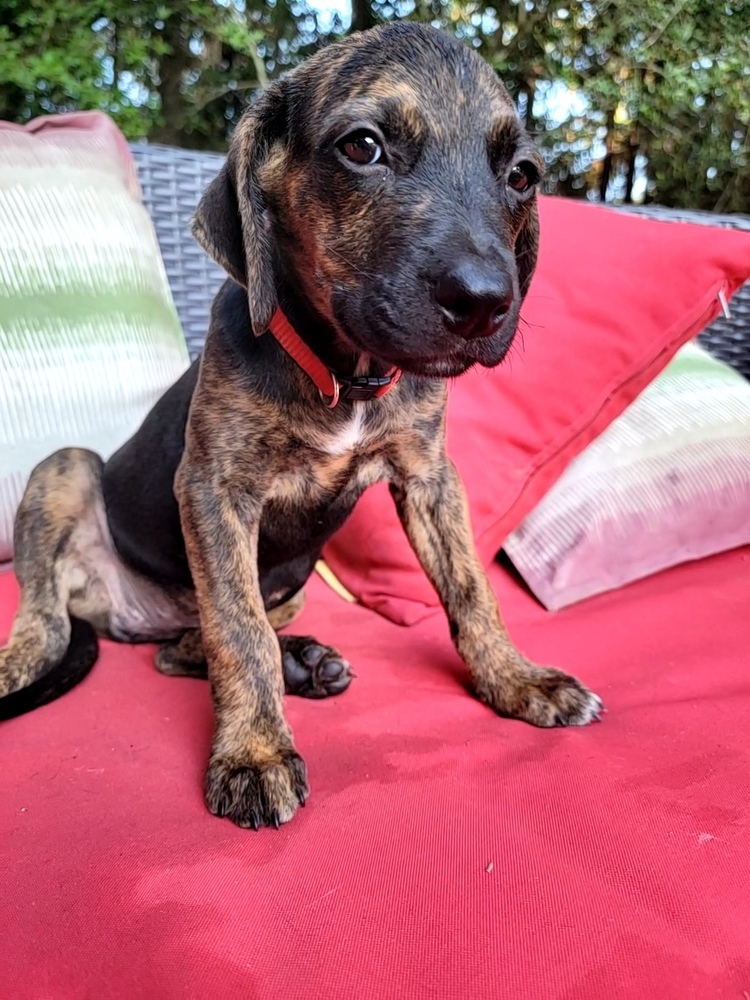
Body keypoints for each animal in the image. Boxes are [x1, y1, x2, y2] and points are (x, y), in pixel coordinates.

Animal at [0, 27, 600, 832]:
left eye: (522, 175)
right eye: (364, 147)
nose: (483, 302)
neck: (345, 375)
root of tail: (133, 615)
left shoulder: (429, 477)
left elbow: (473, 591)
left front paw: (516, 679)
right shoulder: (215, 488)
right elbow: (238, 629)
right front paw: (254, 753)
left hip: (295, 581)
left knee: (182, 649)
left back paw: (303, 661)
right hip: (66, 470)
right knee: (54, 622)